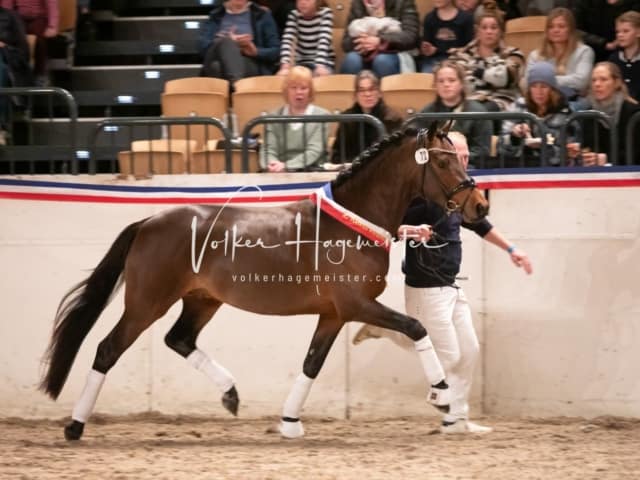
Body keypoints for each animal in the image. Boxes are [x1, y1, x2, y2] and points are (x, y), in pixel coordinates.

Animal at [40, 125, 490, 440]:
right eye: (444, 163)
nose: (480, 205)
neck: (351, 224)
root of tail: (148, 222)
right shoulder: (356, 305)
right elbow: (415, 328)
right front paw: (442, 394)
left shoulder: (333, 315)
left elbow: (311, 363)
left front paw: (289, 423)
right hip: (146, 304)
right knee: (107, 349)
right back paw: (75, 427)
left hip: (202, 300)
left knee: (178, 339)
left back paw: (230, 393)